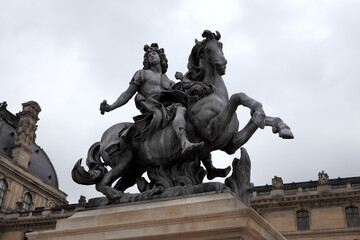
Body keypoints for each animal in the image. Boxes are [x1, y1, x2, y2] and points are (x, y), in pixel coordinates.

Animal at [71, 30, 294, 200]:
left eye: (220, 45)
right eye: (207, 49)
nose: (222, 64)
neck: (210, 93)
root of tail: (105, 136)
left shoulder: (230, 143)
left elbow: (254, 113)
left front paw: (281, 126)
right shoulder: (212, 131)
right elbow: (238, 97)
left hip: (134, 167)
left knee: (115, 184)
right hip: (123, 161)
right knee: (102, 184)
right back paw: (123, 196)